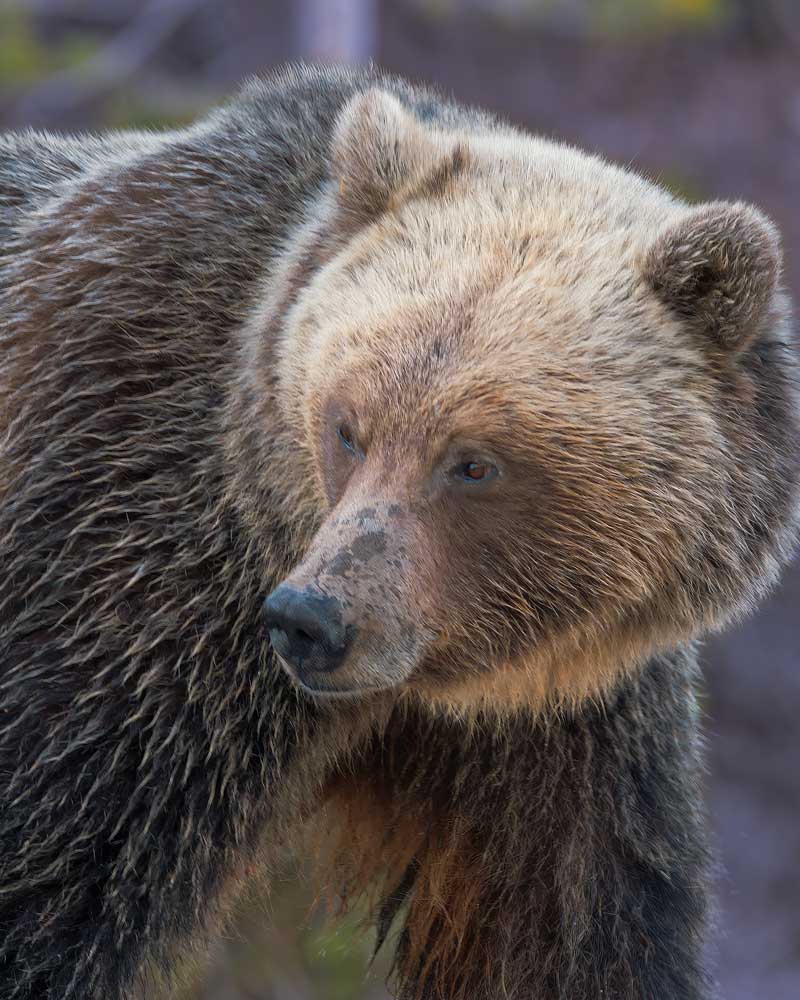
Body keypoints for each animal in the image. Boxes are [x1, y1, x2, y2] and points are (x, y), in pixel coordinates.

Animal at [1, 62, 798, 1000]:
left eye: (474, 463)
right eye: (348, 426)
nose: (311, 619)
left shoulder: (565, 728)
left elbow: (564, 932)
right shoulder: (131, 570)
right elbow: (52, 850)